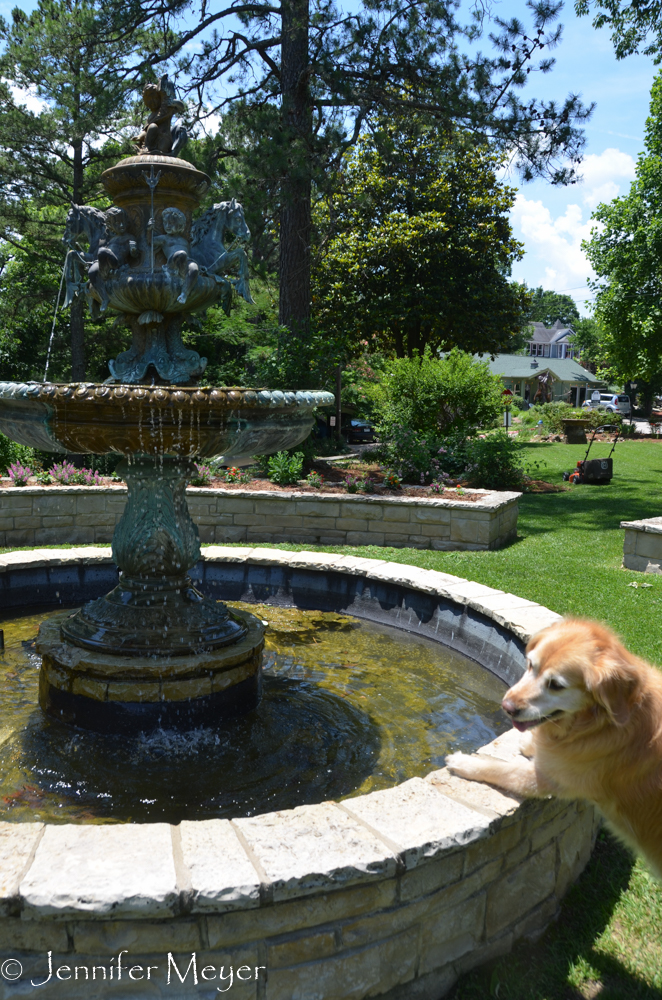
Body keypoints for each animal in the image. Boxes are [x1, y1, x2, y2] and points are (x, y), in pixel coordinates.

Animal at [448, 616, 662, 876]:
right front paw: (530, 744)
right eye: (531, 665)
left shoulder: (549, 781)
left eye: (556, 685)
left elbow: (502, 769)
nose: (506, 707)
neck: (596, 722)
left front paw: (464, 762)